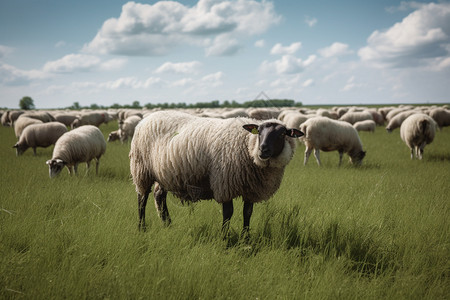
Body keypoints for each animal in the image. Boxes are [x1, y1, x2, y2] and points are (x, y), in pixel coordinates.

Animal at [128, 111, 302, 233]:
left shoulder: (251, 189)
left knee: (159, 196)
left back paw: (168, 224)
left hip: (163, 173)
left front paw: (246, 239)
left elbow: (247, 213)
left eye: (282, 134)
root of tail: (145, 120)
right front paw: (224, 239)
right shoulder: (225, 184)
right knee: (142, 199)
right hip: (141, 168)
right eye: (258, 131)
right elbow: (228, 213)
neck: (247, 144)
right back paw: (141, 228)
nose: (263, 150)